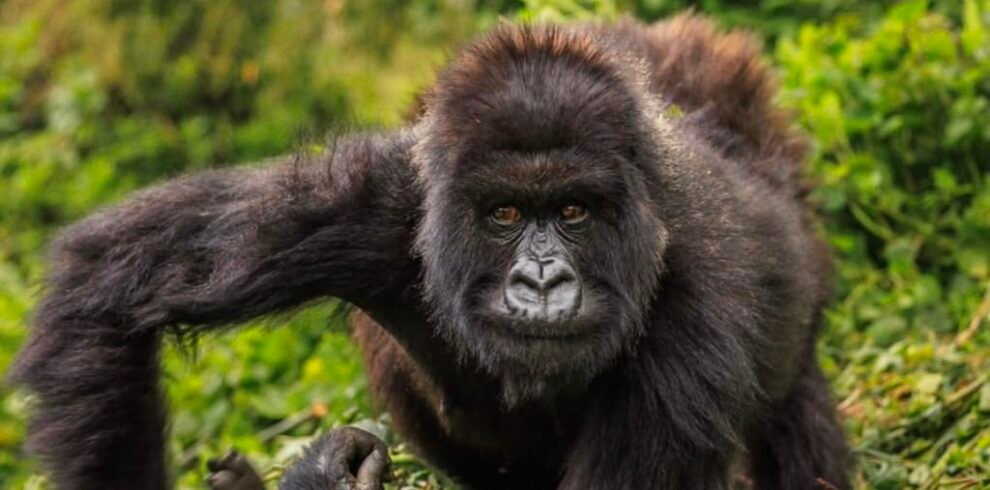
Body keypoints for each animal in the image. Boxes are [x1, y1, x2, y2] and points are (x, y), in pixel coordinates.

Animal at [12, 14, 850, 490]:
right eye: (505, 213)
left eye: (574, 212)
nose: (541, 280)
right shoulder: (372, 200)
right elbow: (107, 281)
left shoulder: (699, 301)